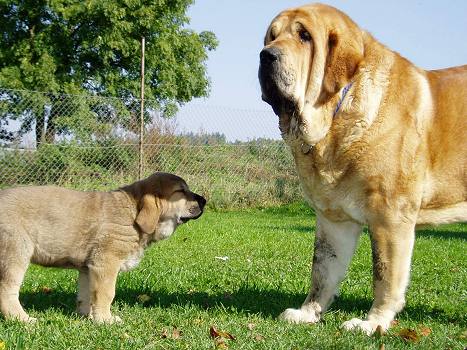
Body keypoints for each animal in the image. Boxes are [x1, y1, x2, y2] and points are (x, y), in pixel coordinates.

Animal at [0, 174, 207, 324]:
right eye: (181, 191)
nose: (204, 200)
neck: (133, 211)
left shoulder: (88, 268)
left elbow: (86, 295)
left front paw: (87, 317)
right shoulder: (106, 263)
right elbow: (106, 294)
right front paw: (105, 320)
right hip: (16, 252)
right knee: (7, 290)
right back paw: (23, 319)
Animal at [260, 3, 467, 336]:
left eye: (304, 36)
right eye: (272, 36)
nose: (266, 55)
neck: (337, 113)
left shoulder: (389, 218)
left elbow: (385, 274)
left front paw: (373, 322)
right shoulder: (333, 219)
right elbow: (322, 270)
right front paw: (308, 313)